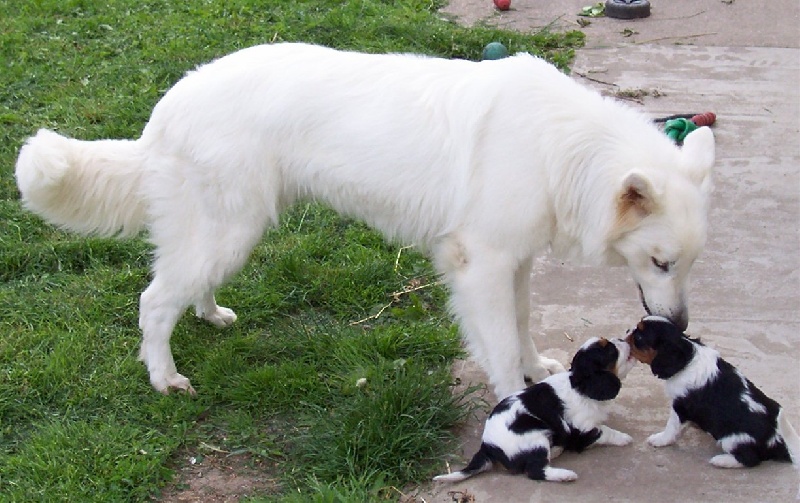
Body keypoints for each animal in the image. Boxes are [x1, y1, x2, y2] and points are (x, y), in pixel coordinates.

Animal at [14, 43, 712, 400]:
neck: (565, 149)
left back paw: (211, 316)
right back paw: (164, 377)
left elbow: (520, 324)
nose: (679, 328)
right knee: (154, 301)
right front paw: (516, 396)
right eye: (660, 263)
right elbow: (498, 342)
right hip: (227, 232)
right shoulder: (481, 265)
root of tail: (164, 111)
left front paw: (537, 367)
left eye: (688, 266)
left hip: (226, 234)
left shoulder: (514, 262)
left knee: (184, 286)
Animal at [434, 338, 636, 484]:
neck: (580, 387)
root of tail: (487, 446)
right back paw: (565, 474)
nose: (623, 339)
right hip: (535, 437)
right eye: (611, 351)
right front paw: (624, 438)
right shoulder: (583, 430)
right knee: (535, 471)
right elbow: (606, 432)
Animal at [628, 316, 796, 470]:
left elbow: (672, 427)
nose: (627, 330)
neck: (687, 358)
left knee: (750, 459)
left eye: (639, 337)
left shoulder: (680, 407)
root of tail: (776, 441)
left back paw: (721, 460)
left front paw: (660, 439)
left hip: (733, 440)